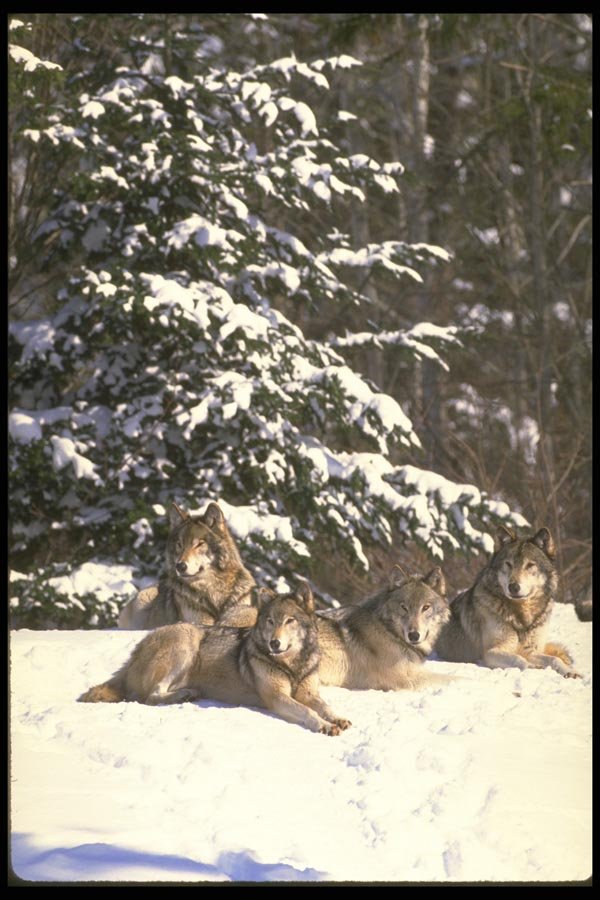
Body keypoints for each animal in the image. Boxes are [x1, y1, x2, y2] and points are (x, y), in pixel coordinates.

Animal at [80, 583, 351, 736]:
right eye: (270, 621)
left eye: (289, 621)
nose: (274, 643)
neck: (292, 665)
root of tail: (135, 652)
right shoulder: (277, 697)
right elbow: (308, 711)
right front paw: (325, 726)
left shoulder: (308, 692)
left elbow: (324, 706)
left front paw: (337, 718)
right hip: (186, 638)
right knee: (151, 696)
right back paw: (185, 695)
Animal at [118, 502, 256, 629]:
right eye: (179, 544)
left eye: (199, 544)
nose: (180, 566)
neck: (213, 591)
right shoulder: (197, 619)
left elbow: (247, 614)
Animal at [316, 565, 451, 690]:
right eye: (404, 607)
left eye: (426, 607)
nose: (413, 636)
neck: (389, 631)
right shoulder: (404, 681)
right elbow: (450, 678)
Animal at [435, 525, 579, 677]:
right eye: (508, 564)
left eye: (530, 565)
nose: (513, 587)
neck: (521, 617)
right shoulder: (490, 653)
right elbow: (519, 660)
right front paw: (533, 667)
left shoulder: (530, 650)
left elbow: (554, 659)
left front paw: (569, 671)